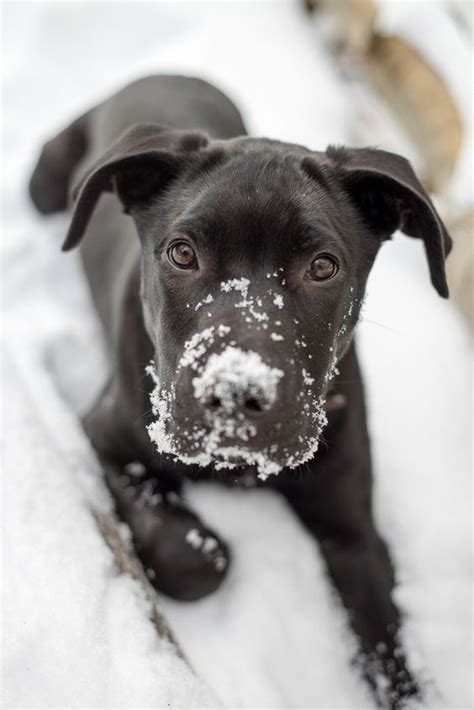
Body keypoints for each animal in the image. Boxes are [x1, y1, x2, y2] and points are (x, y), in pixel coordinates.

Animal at [29, 75, 452, 708]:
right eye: (183, 253)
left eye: (323, 266)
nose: (233, 394)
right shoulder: (103, 438)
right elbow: (198, 559)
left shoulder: (353, 530)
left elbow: (392, 652)